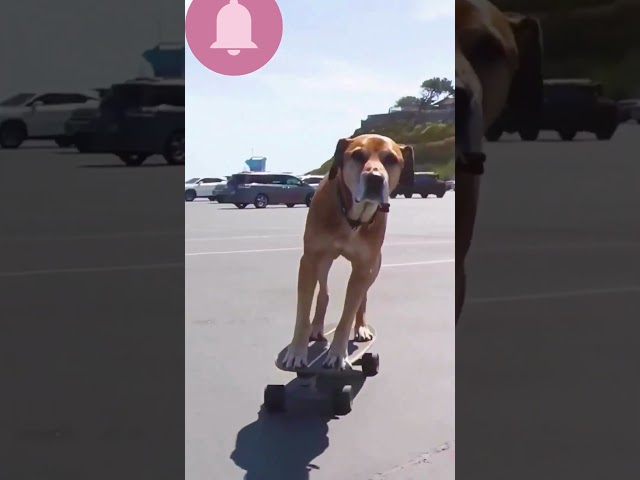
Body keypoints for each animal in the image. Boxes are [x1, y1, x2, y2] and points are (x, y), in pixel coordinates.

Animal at [282, 135, 412, 372]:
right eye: (358, 155)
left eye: (391, 159)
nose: (375, 178)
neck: (352, 218)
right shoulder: (309, 259)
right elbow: (303, 312)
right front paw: (297, 352)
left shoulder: (363, 266)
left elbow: (348, 314)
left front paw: (337, 354)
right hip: (323, 261)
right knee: (323, 292)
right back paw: (317, 327)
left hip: (374, 267)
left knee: (362, 298)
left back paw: (360, 327)